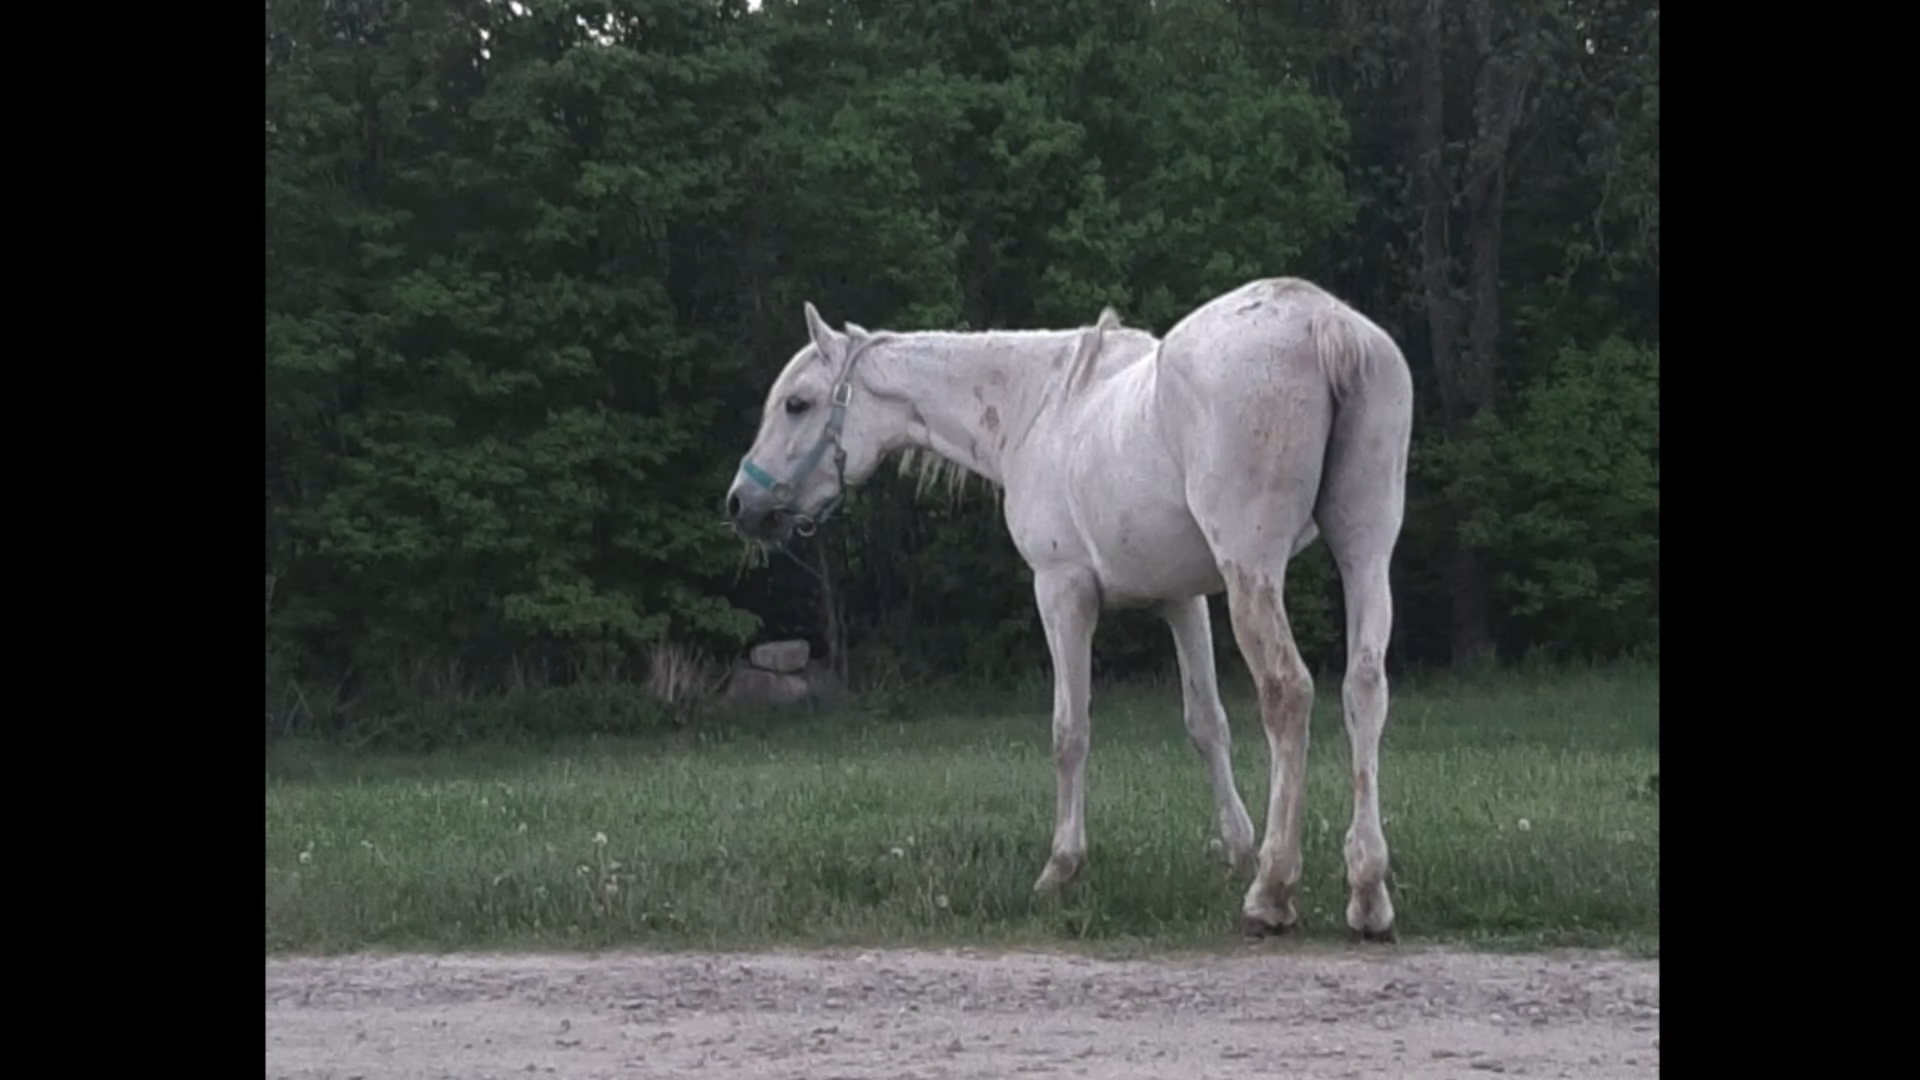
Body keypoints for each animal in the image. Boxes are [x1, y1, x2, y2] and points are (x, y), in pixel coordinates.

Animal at [725, 278, 1420, 941]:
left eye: (797, 403)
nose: (740, 504)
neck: (1039, 408)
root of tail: (1323, 321)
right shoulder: (1184, 600)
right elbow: (1207, 723)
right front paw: (1237, 848)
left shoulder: (1062, 592)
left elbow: (1070, 730)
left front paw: (1061, 867)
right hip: (1366, 551)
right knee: (1363, 690)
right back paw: (1367, 894)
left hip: (1255, 570)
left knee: (1287, 693)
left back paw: (1273, 895)